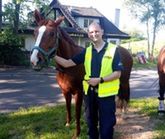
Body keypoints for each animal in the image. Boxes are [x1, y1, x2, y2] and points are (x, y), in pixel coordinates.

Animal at [29, 9, 133, 138]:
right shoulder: (65, 91)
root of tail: (127, 52)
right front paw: (68, 124)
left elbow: (77, 113)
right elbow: (68, 108)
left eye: (52, 33)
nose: (35, 60)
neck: (69, 67)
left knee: (125, 94)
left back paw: (124, 113)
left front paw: (77, 133)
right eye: (35, 32)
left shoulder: (79, 93)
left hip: (124, 81)